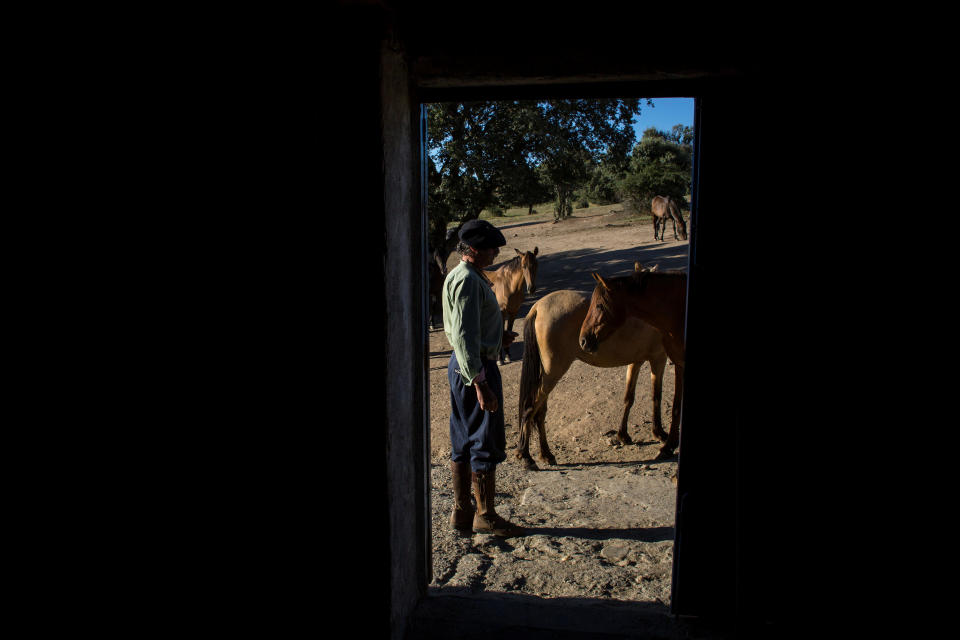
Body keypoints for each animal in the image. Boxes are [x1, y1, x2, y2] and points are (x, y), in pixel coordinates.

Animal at [512, 290, 672, 470]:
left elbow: (629, 398)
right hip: (552, 373)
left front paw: (623, 435)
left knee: (540, 412)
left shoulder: (636, 361)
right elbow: (656, 396)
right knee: (530, 407)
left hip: (548, 376)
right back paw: (525, 456)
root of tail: (538, 306)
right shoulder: (658, 358)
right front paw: (659, 433)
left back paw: (546, 454)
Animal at [580, 262, 688, 458]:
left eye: (599, 305)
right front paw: (668, 445)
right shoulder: (677, 363)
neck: (678, 310)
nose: (583, 340)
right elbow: (675, 406)